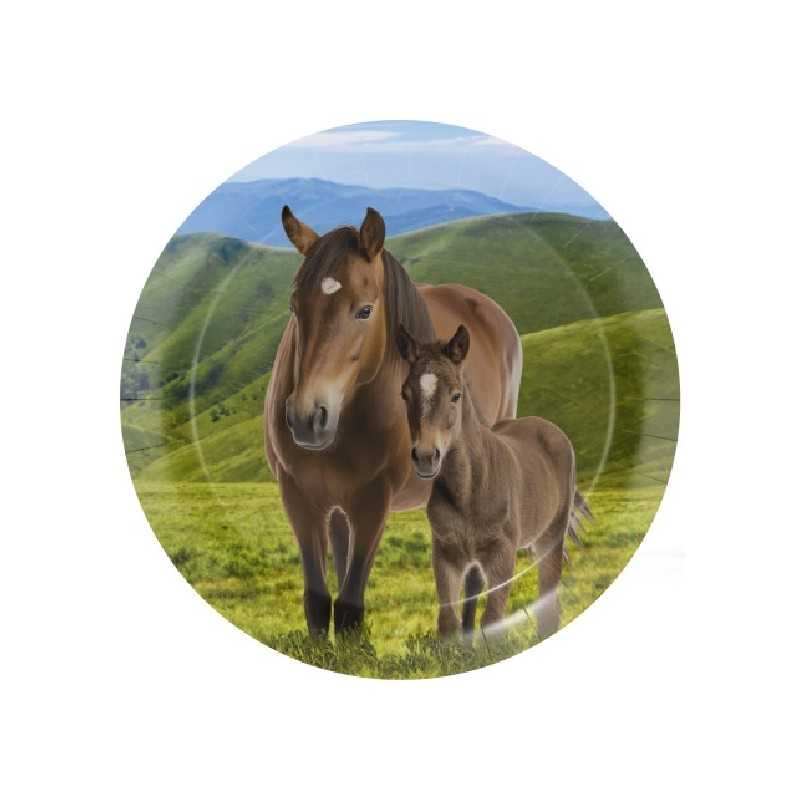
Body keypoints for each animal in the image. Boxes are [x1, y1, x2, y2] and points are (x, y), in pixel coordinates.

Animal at [265, 206, 522, 635]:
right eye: (295, 306)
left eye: (365, 310)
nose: (306, 417)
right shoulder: (298, 495)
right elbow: (318, 602)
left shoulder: (374, 500)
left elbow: (349, 606)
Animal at [396, 323, 592, 639]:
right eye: (405, 393)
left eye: (456, 395)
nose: (425, 457)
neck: (468, 489)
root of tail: (548, 427)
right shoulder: (445, 553)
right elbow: (448, 620)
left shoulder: (502, 554)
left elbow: (493, 621)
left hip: (549, 536)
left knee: (548, 597)